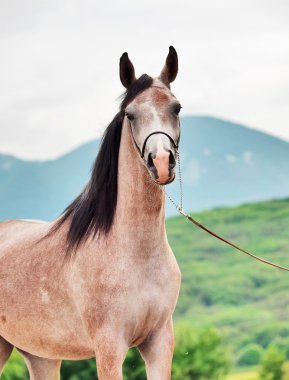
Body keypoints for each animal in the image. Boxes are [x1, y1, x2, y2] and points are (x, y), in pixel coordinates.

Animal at [0, 46, 180, 378]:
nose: (161, 162)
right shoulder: (109, 348)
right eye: (130, 114)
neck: (134, 251)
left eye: (176, 108)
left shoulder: (159, 342)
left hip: (40, 355)